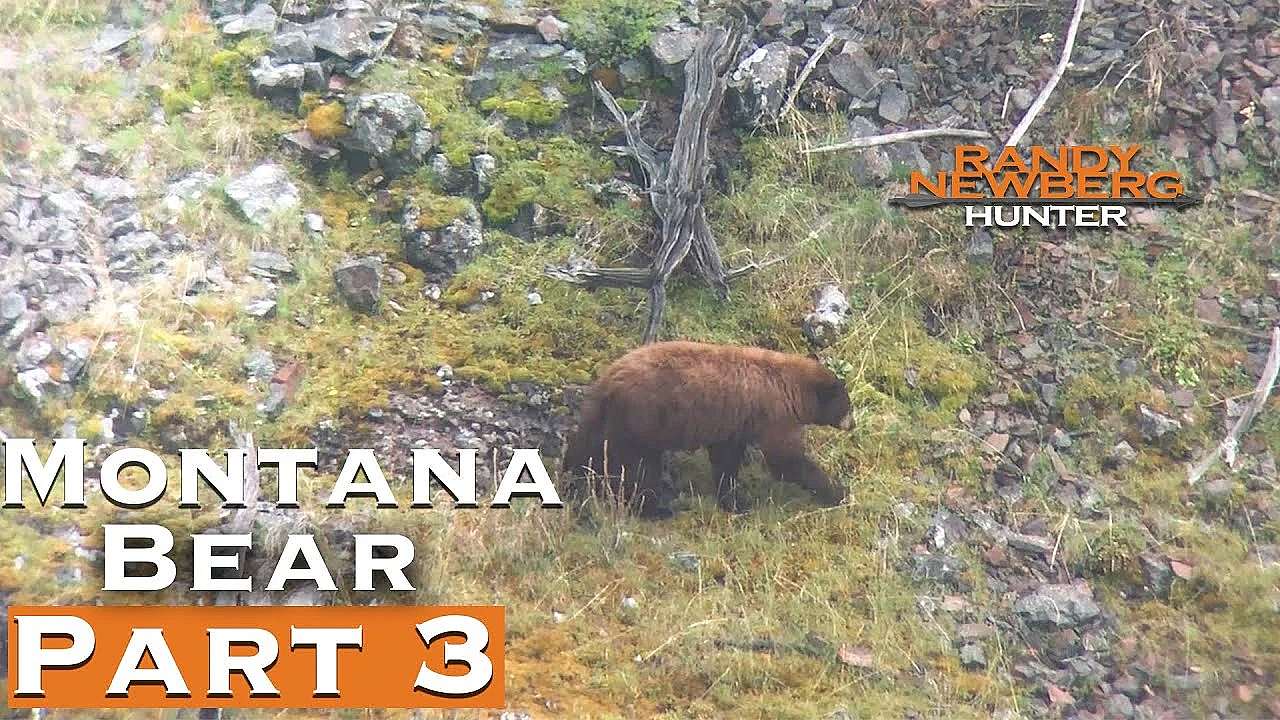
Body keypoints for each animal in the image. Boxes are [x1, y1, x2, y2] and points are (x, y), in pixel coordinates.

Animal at [560, 340, 852, 517]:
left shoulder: (734, 423)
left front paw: (732, 500)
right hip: (641, 421)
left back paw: (571, 479)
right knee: (640, 468)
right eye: (847, 405)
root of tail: (611, 378)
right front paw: (838, 491)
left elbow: (726, 460)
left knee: (586, 446)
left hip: (605, 416)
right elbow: (786, 460)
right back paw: (655, 509)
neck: (793, 389)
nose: (853, 424)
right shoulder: (774, 415)